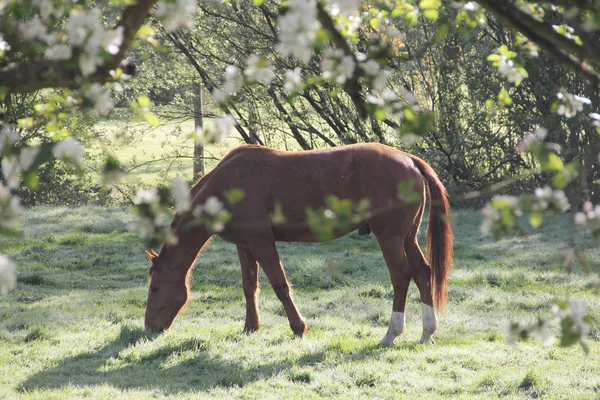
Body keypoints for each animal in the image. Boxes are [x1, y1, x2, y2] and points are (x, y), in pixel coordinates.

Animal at [145, 142, 452, 346]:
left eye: (155, 287)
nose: (149, 329)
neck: (227, 186)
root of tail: (409, 159)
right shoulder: (245, 245)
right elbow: (249, 286)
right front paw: (251, 327)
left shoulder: (262, 241)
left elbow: (280, 285)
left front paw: (298, 328)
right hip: (407, 238)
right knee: (423, 274)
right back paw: (427, 331)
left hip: (389, 238)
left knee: (401, 277)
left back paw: (391, 333)